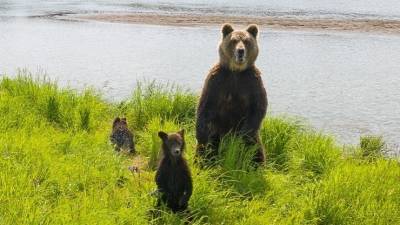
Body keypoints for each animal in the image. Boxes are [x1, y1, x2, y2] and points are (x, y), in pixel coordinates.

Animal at [195, 24, 268, 165]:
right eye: (233, 41)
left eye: (246, 41)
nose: (240, 51)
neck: (236, 71)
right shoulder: (217, 81)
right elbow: (205, 105)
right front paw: (200, 134)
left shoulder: (252, 82)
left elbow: (258, 107)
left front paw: (243, 136)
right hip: (217, 132)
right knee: (207, 147)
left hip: (255, 139)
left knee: (256, 151)